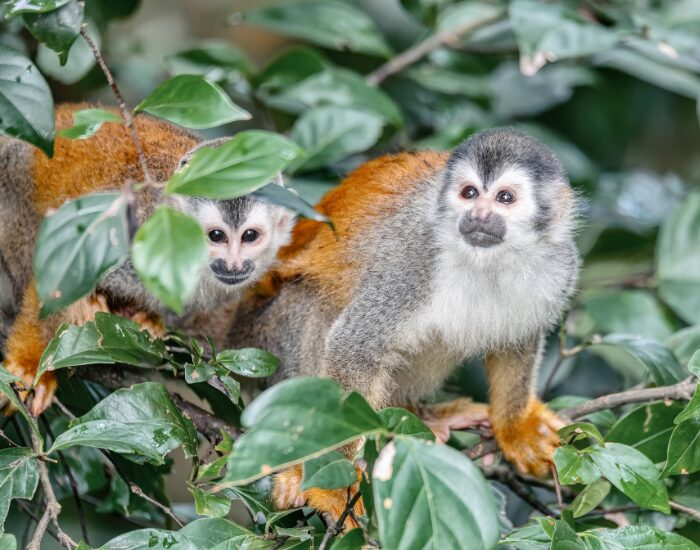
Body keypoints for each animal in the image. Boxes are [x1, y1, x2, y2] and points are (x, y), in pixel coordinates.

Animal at [0, 103, 294, 415]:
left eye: (249, 236)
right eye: (216, 236)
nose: (234, 264)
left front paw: (151, 319)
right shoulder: (132, 243)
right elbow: (59, 275)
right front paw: (30, 367)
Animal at [226, 128, 581, 525]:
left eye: (505, 198)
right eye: (469, 193)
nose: (478, 214)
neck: (485, 259)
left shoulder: (560, 265)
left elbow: (518, 340)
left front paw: (516, 428)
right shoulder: (412, 261)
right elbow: (355, 347)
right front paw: (334, 487)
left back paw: (422, 414)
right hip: (262, 341)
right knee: (313, 305)